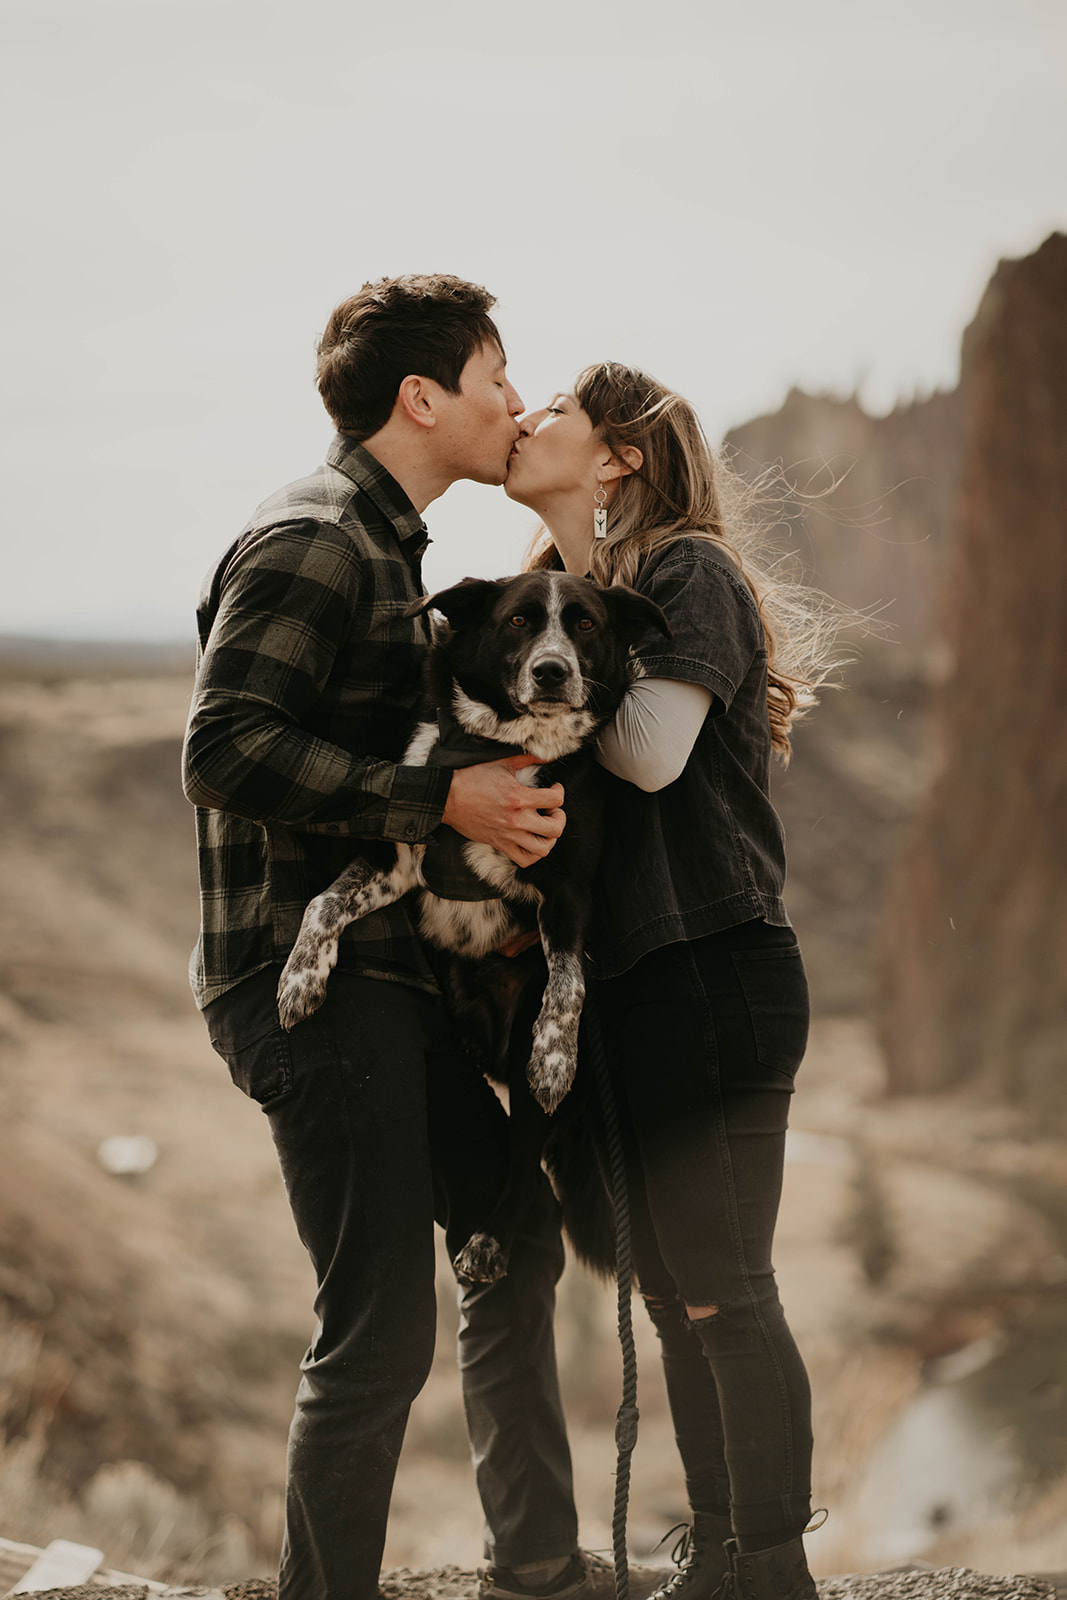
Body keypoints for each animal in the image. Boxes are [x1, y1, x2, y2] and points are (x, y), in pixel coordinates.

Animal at [278, 569, 668, 1280]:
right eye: (517, 621)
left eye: (586, 624)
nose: (551, 671)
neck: (501, 744)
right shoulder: (398, 857)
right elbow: (323, 903)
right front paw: (300, 982)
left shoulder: (568, 892)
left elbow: (567, 985)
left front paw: (554, 1059)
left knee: (526, 1170)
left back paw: (489, 1241)